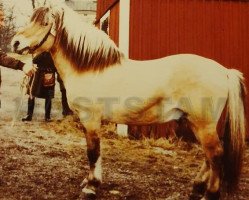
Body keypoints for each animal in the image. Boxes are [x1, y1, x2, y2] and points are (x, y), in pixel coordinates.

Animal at [11, 2, 245, 199]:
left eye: (44, 22)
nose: (15, 42)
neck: (90, 68)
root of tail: (224, 71)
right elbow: (94, 151)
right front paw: (89, 181)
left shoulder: (90, 119)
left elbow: (93, 152)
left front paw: (91, 186)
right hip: (196, 123)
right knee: (208, 156)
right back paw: (196, 189)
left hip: (204, 124)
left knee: (215, 155)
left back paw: (209, 194)